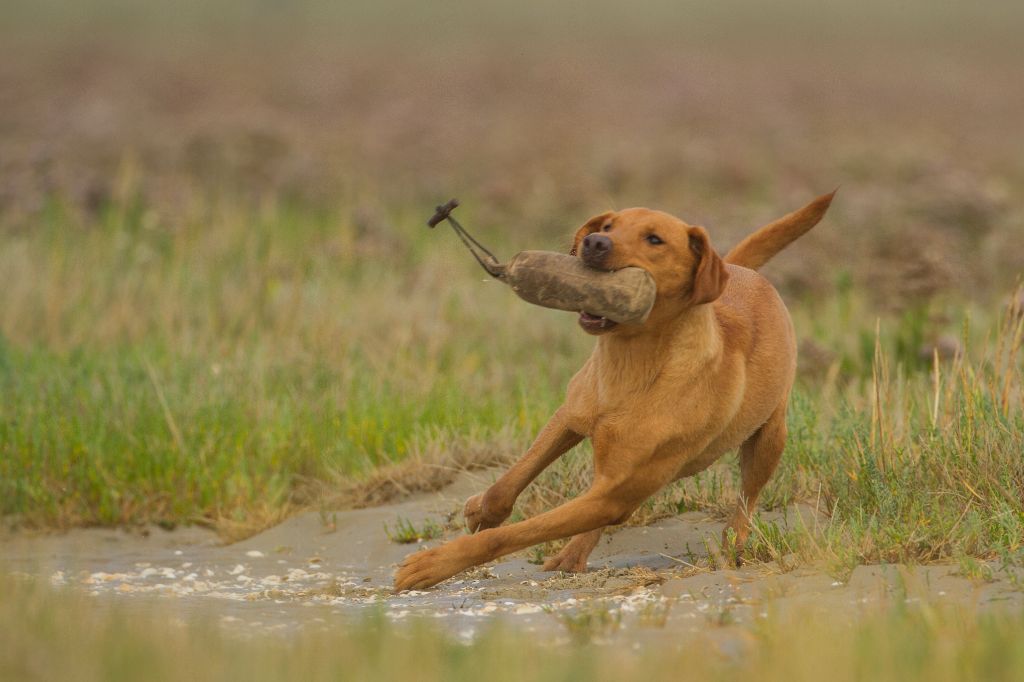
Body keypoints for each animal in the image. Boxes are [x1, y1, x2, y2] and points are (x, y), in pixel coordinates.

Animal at [395, 191, 835, 589]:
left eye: (654, 239)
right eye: (607, 226)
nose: (593, 243)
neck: (630, 364)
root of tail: (737, 268)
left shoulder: (615, 494)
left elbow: (512, 535)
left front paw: (434, 563)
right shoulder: (570, 416)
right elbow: (510, 482)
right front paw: (481, 512)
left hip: (769, 439)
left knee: (746, 499)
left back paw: (732, 545)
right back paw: (572, 555)